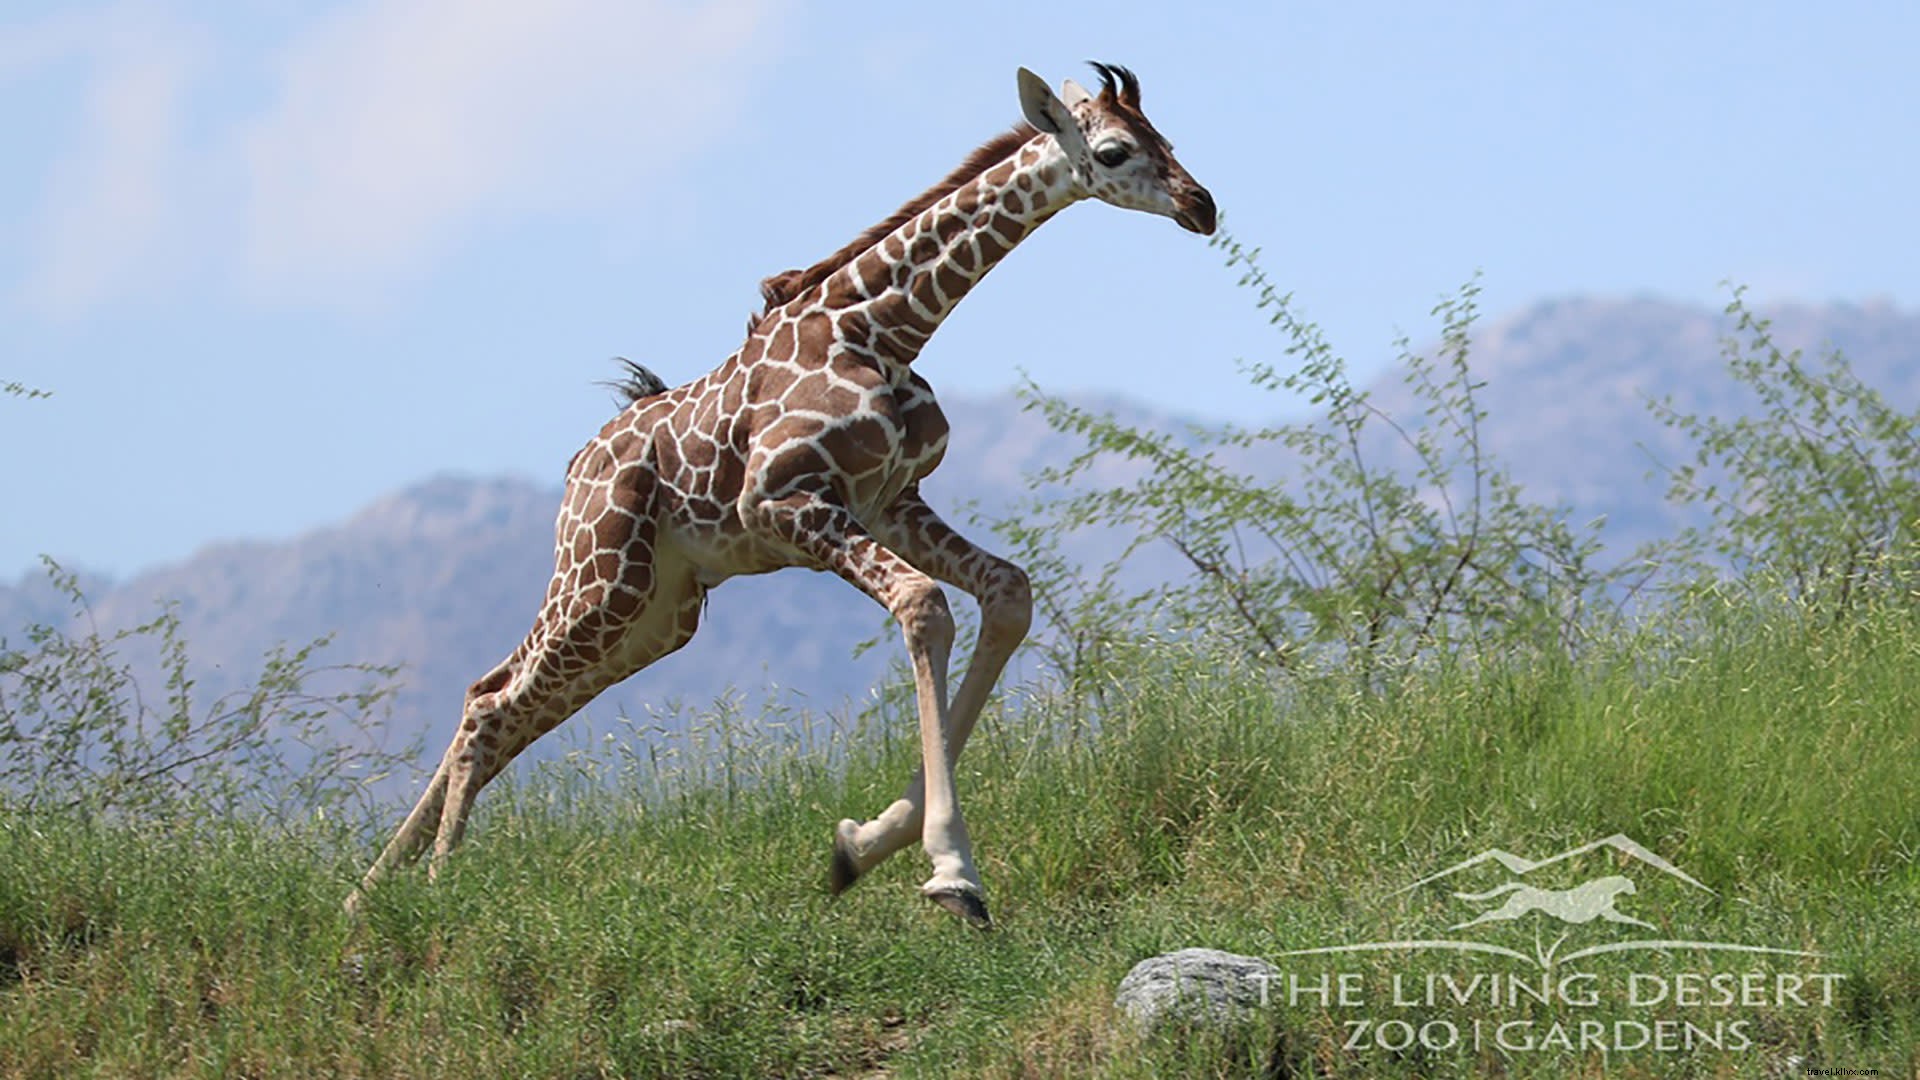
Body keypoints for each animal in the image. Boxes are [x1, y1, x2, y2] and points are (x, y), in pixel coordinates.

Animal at [348, 63, 1216, 928]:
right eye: (1113, 151)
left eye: (1167, 137)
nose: (1202, 205)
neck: (885, 330)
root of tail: (577, 467)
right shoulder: (785, 503)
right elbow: (924, 606)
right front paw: (949, 871)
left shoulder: (891, 501)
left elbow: (1007, 592)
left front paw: (861, 846)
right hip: (602, 578)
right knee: (493, 703)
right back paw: (435, 884)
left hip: (658, 614)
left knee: (498, 698)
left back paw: (371, 891)